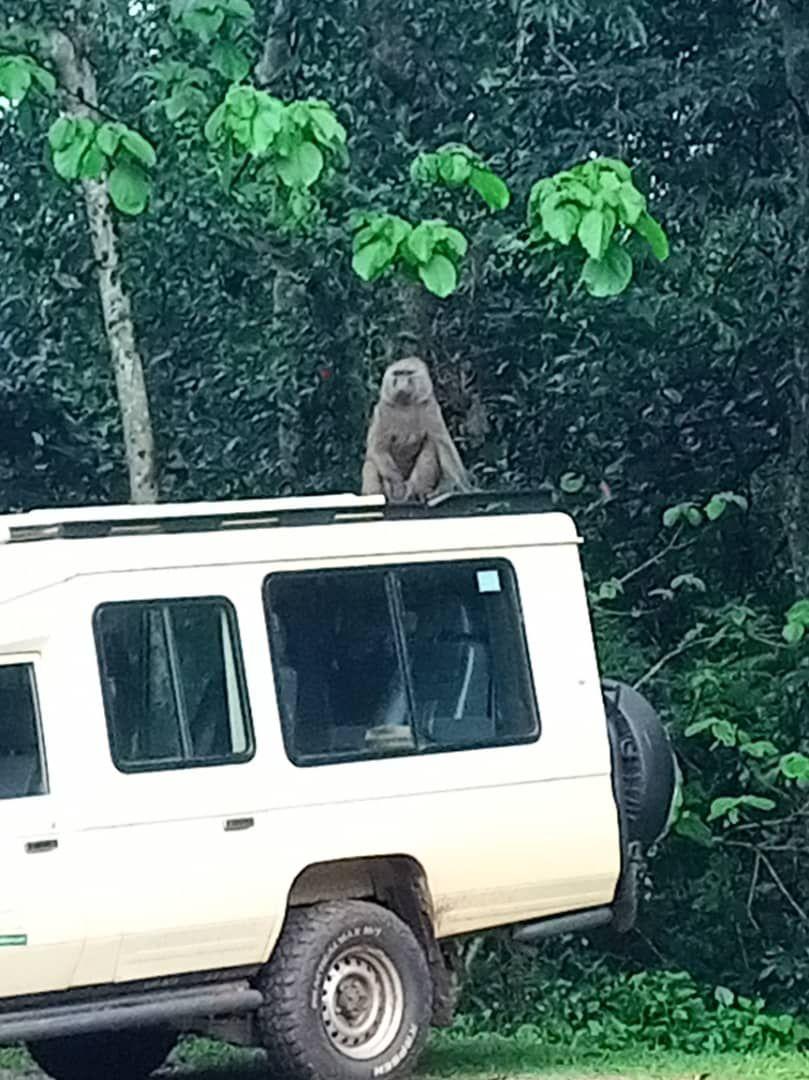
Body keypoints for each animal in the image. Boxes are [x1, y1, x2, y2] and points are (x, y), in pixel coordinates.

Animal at [361, 357, 474, 503]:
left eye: (408, 373)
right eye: (398, 374)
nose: (401, 385)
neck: (405, 404)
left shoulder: (430, 408)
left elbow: (443, 446)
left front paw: (464, 486)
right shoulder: (382, 411)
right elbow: (378, 449)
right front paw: (397, 484)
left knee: (430, 448)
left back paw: (418, 493)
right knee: (370, 465)